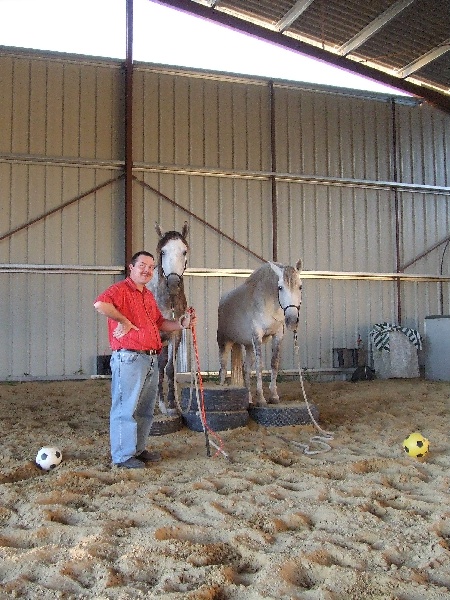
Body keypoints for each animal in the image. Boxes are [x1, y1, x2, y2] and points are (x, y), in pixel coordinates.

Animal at [217, 260, 302, 406]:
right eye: (280, 287)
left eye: (300, 287)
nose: (292, 320)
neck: (268, 304)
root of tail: (222, 302)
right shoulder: (257, 335)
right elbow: (259, 366)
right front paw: (261, 399)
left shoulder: (278, 335)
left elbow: (274, 364)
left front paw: (274, 396)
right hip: (225, 342)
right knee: (222, 368)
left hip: (249, 346)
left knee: (246, 369)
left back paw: (249, 399)